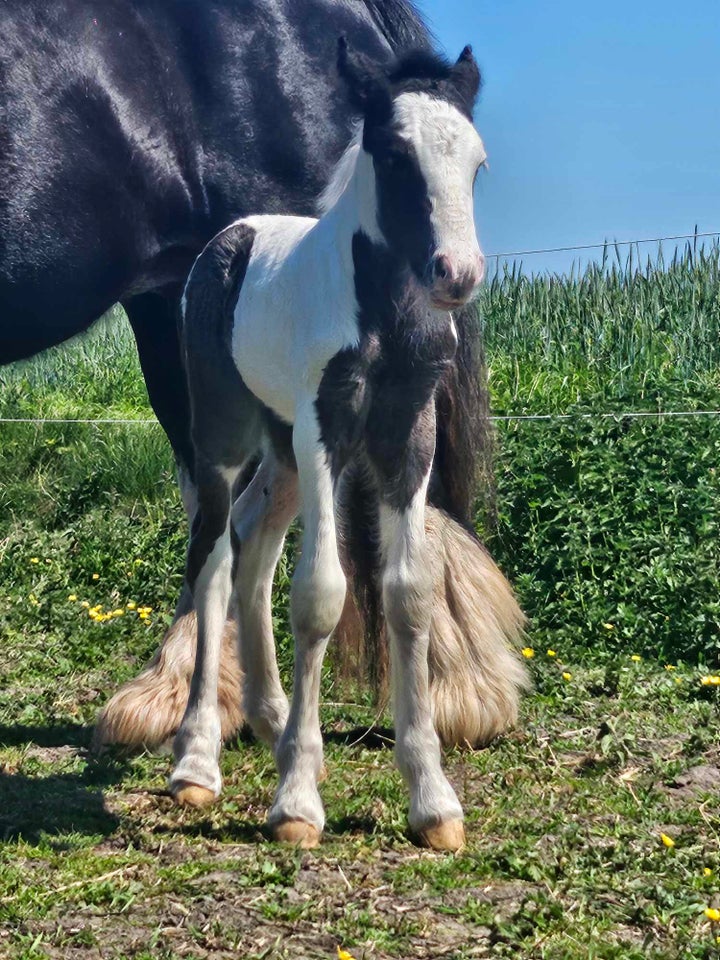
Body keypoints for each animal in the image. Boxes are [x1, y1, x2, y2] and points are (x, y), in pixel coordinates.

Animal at [173, 37, 490, 852]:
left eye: (476, 162)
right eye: (396, 155)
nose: (458, 275)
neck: (383, 313)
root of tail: (234, 235)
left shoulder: (410, 433)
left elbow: (409, 593)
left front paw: (433, 798)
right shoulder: (327, 428)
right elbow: (319, 594)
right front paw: (296, 802)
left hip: (283, 451)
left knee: (253, 546)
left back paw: (273, 718)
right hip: (227, 436)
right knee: (213, 560)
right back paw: (197, 759)